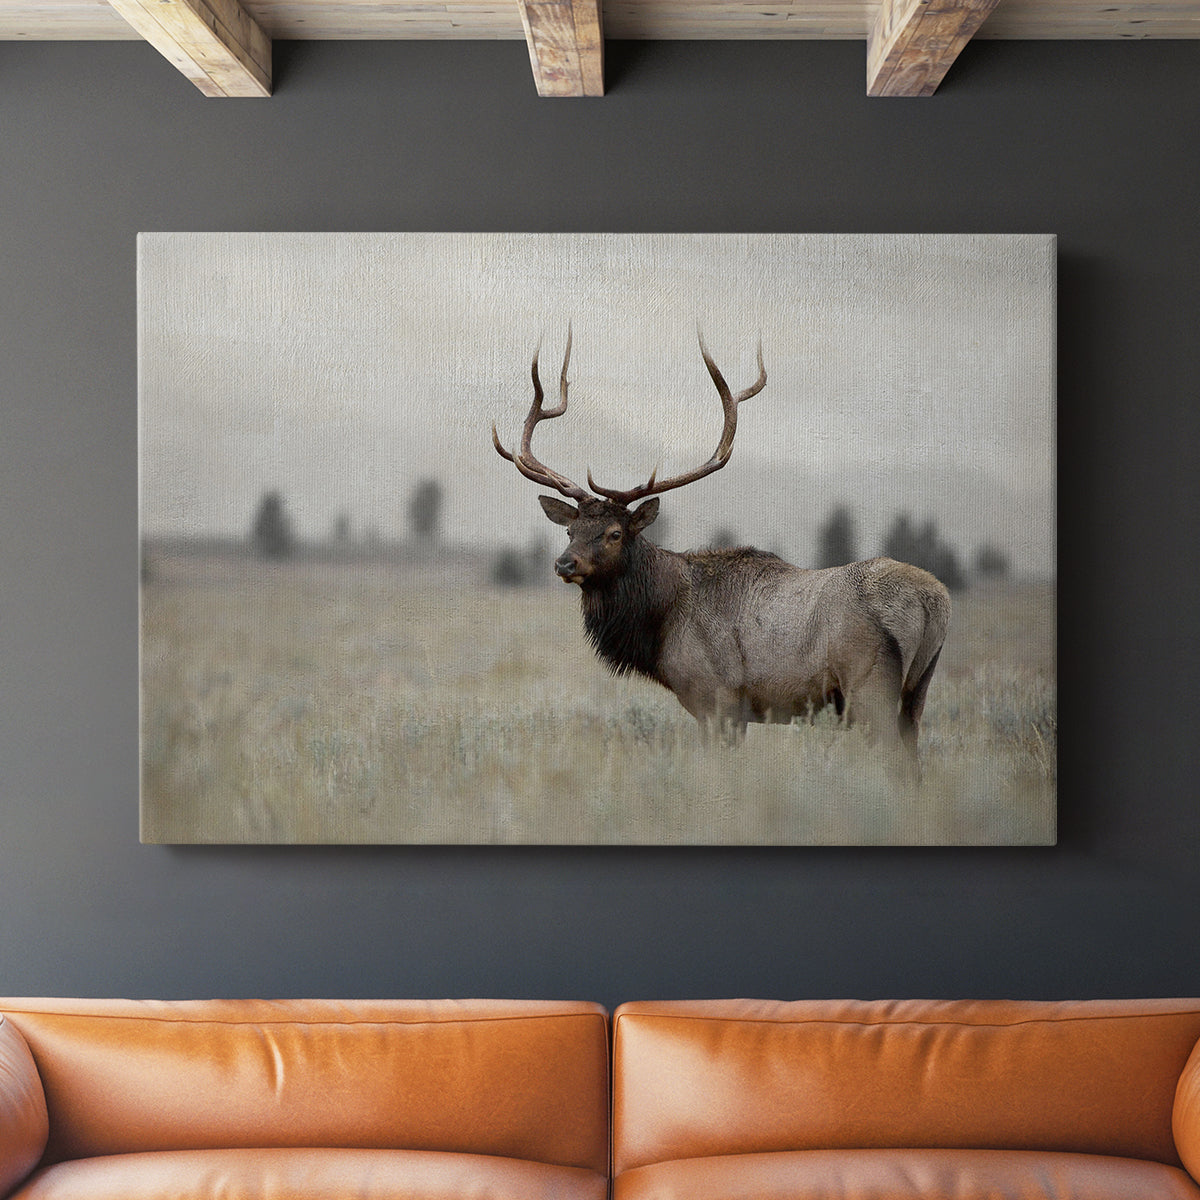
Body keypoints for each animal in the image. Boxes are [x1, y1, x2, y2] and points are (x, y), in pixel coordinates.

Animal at [492, 328, 951, 772]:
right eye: (570, 530)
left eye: (615, 533)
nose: (564, 563)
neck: (662, 621)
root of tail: (934, 601)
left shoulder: (717, 697)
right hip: (917, 691)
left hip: (870, 686)